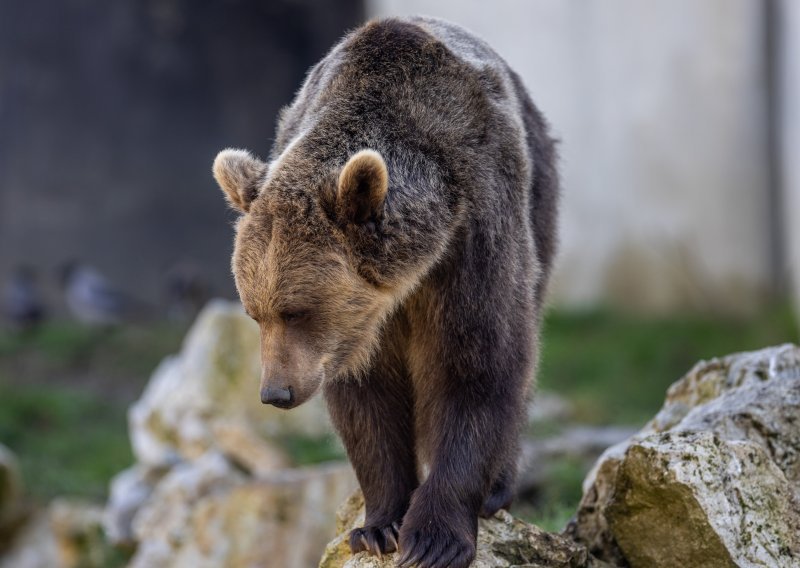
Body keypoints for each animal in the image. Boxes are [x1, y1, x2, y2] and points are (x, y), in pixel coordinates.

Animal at [214, 15, 564, 564]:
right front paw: (379, 525)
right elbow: (367, 400)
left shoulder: (474, 233)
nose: (275, 392)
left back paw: (499, 487)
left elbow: (477, 363)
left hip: (539, 194)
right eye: (255, 314)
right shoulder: (355, 330)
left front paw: (435, 537)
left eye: (296, 311)